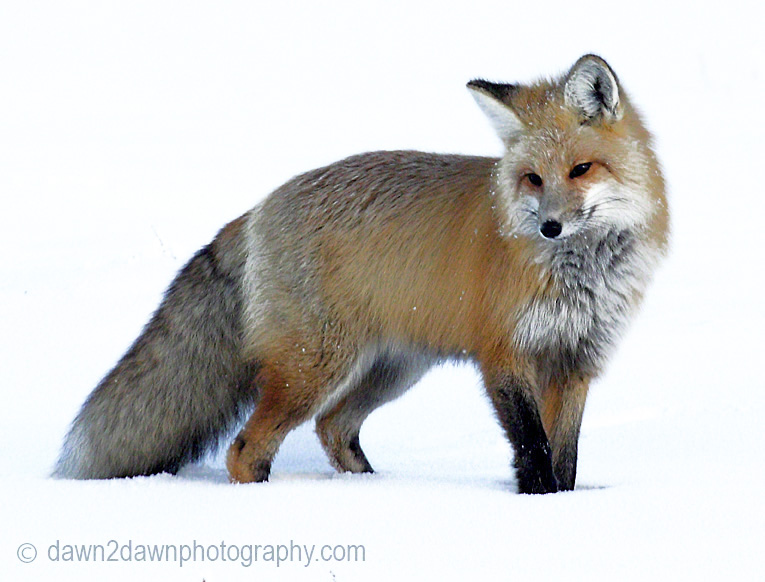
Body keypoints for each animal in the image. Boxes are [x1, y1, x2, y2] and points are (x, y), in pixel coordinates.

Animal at [54, 55, 669, 494]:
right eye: (533, 179)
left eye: (581, 169)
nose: (548, 228)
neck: (580, 275)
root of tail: (258, 207)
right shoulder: (505, 355)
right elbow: (533, 450)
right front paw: (539, 505)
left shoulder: (576, 361)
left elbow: (565, 459)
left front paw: (562, 505)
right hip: (316, 367)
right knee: (246, 449)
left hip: (392, 369)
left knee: (333, 428)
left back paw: (372, 493)